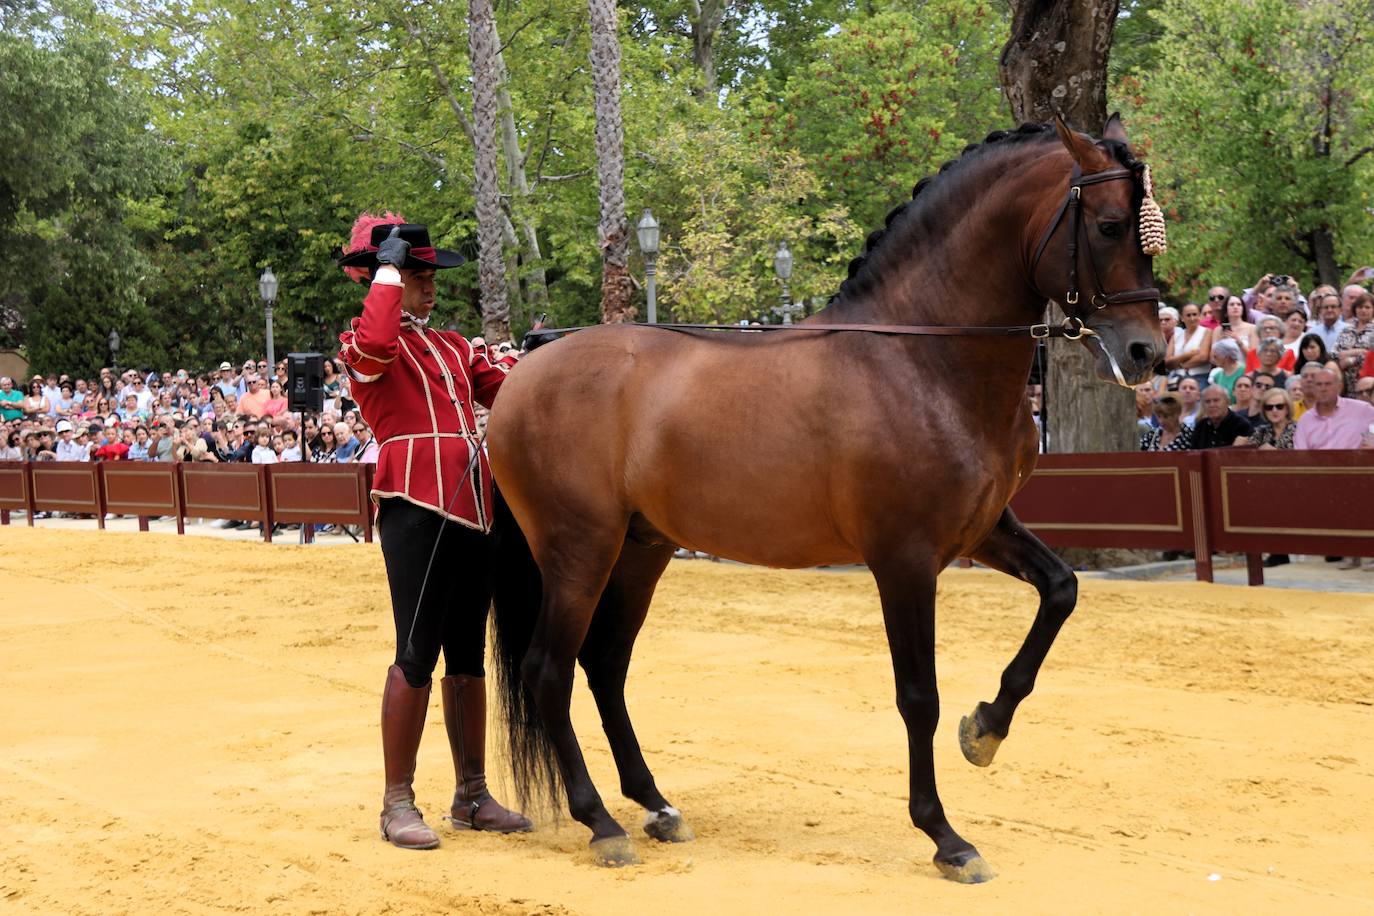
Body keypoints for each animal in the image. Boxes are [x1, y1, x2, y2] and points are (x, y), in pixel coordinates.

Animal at [489, 116, 1165, 878]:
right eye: (1109, 226)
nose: (1146, 352)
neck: (922, 360)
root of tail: (518, 375)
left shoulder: (983, 529)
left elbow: (1061, 590)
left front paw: (985, 729)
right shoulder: (905, 559)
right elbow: (918, 696)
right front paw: (946, 837)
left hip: (642, 549)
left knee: (604, 666)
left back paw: (657, 806)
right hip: (580, 550)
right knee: (549, 671)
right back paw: (600, 822)